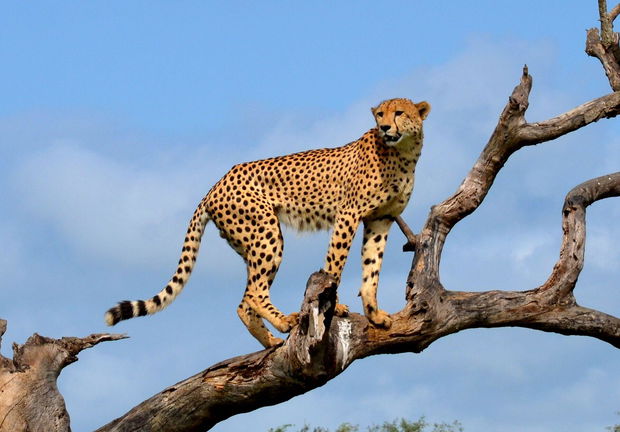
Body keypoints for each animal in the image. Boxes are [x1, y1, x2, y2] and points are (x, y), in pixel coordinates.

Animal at [104, 98, 428, 348]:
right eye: (380, 114)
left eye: (399, 112)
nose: (384, 128)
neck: (402, 154)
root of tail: (215, 185)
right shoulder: (348, 215)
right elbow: (335, 264)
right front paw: (335, 307)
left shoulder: (380, 219)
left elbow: (372, 269)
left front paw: (375, 314)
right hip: (266, 232)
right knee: (254, 293)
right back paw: (284, 322)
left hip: (250, 242)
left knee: (243, 301)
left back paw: (270, 340)